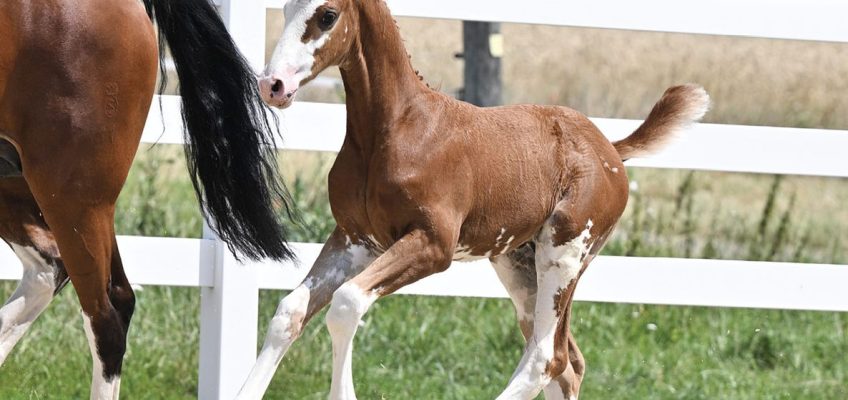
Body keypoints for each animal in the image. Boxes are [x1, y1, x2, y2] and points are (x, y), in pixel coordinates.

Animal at [237, 0, 708, 400]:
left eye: (327, 15)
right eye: (285, 8)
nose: (272, 85)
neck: (396, 130)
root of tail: (610, 148)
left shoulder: (433, 245)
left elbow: (347, 303)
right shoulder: (355, 239)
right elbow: (289, 312)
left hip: (565, 254)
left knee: (546, 358)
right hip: (519, 264)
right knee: (567, 362)